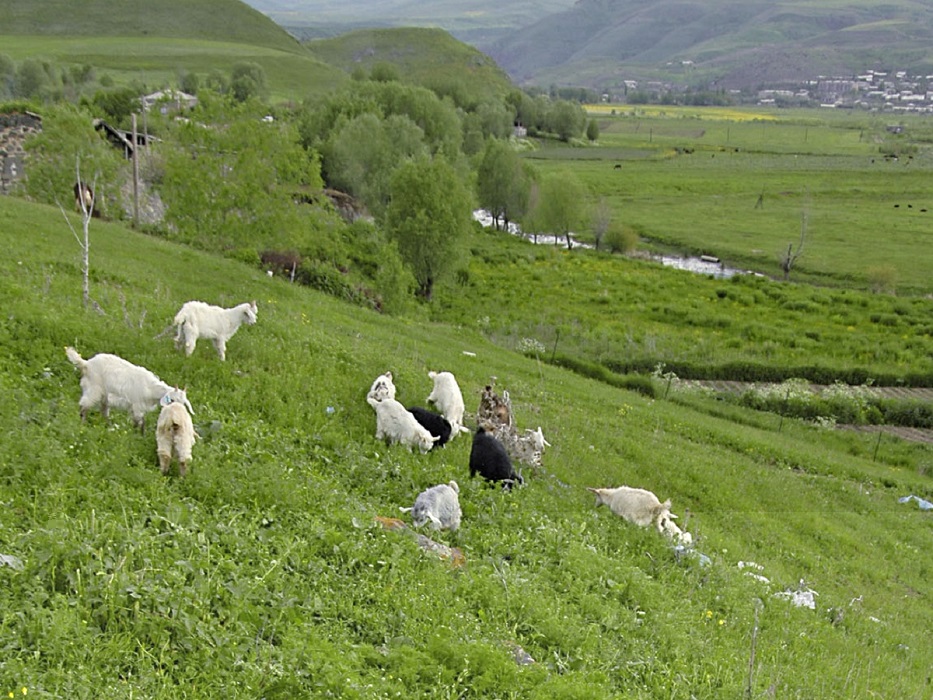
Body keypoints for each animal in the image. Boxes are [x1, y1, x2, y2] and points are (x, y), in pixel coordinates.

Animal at [65, 346, 193, 432]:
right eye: (172, 400)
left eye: (184, 404)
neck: (150, 388)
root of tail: (86, 364)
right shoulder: (136, 406)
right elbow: (139, 422)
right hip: (94, 389)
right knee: (84, 406)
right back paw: (82, 425)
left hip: (104, 396)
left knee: (104, 412)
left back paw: (109, 426)